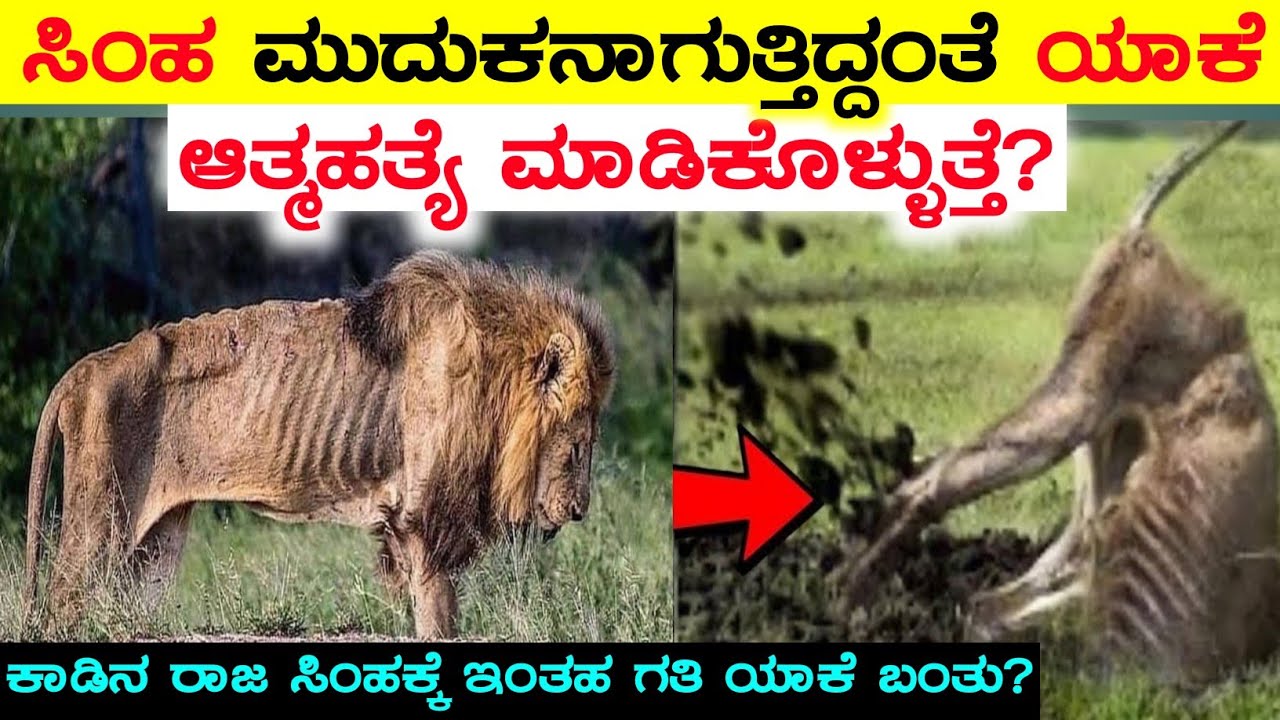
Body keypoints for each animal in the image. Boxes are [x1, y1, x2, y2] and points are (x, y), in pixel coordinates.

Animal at [22, 248, 616, 640]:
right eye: (577, 444)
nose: (580, 510)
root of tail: (81, 371)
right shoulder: (423, 520)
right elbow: (439, 617)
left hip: (153, 546)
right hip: (98, 525)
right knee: (60, 609)